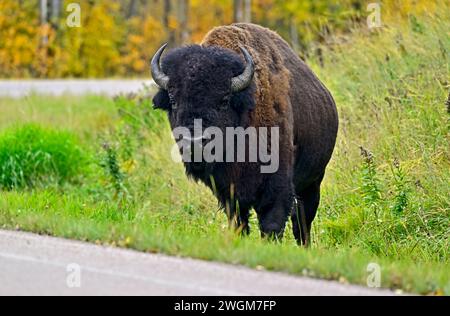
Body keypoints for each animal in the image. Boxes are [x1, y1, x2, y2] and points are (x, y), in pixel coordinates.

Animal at [151, 22, 338, 244]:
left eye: (224, 100)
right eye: (173, 100)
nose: (194, 142)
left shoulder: (277, 188)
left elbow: (272, 224)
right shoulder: (229, 194)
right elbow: (239, 223)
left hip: (313, 182)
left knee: (302, 222)